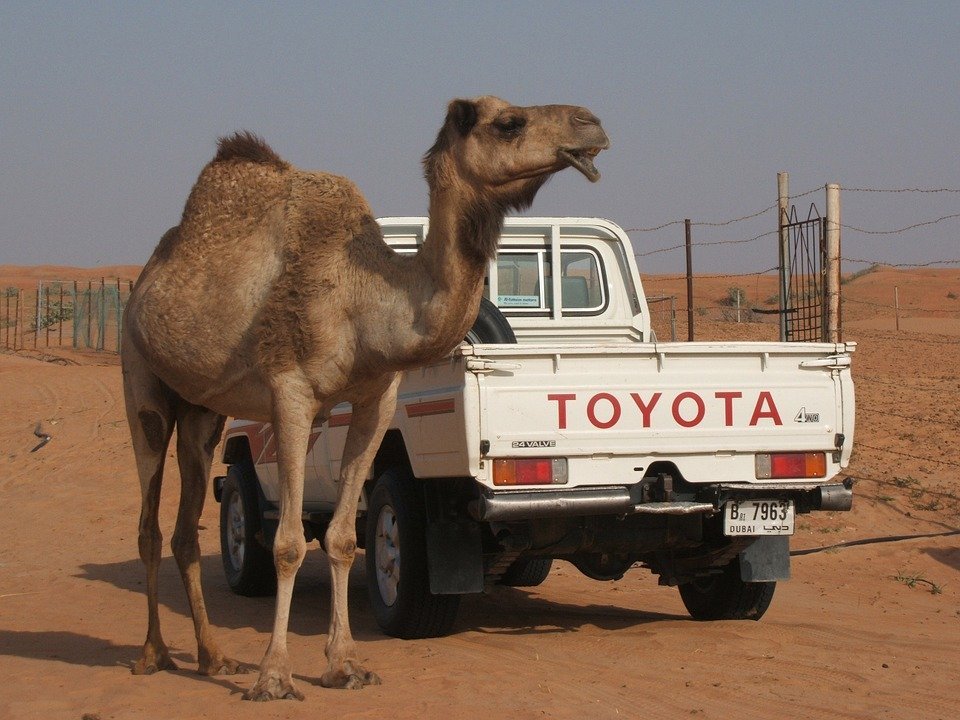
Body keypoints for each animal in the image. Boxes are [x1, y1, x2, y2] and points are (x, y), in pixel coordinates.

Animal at [121, 95, 608, 701]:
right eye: (508, 122)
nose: (591, 124)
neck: (365, 302)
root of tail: (144, 280)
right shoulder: (290, 392)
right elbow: (287, 543)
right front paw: (275, 676)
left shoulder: (376, 401)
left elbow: (341, 538)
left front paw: (345, 665)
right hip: (141, 381)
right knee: (149, 520)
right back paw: (152, 654)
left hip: (202, 411)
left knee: (187, 527)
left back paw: (213, 658)